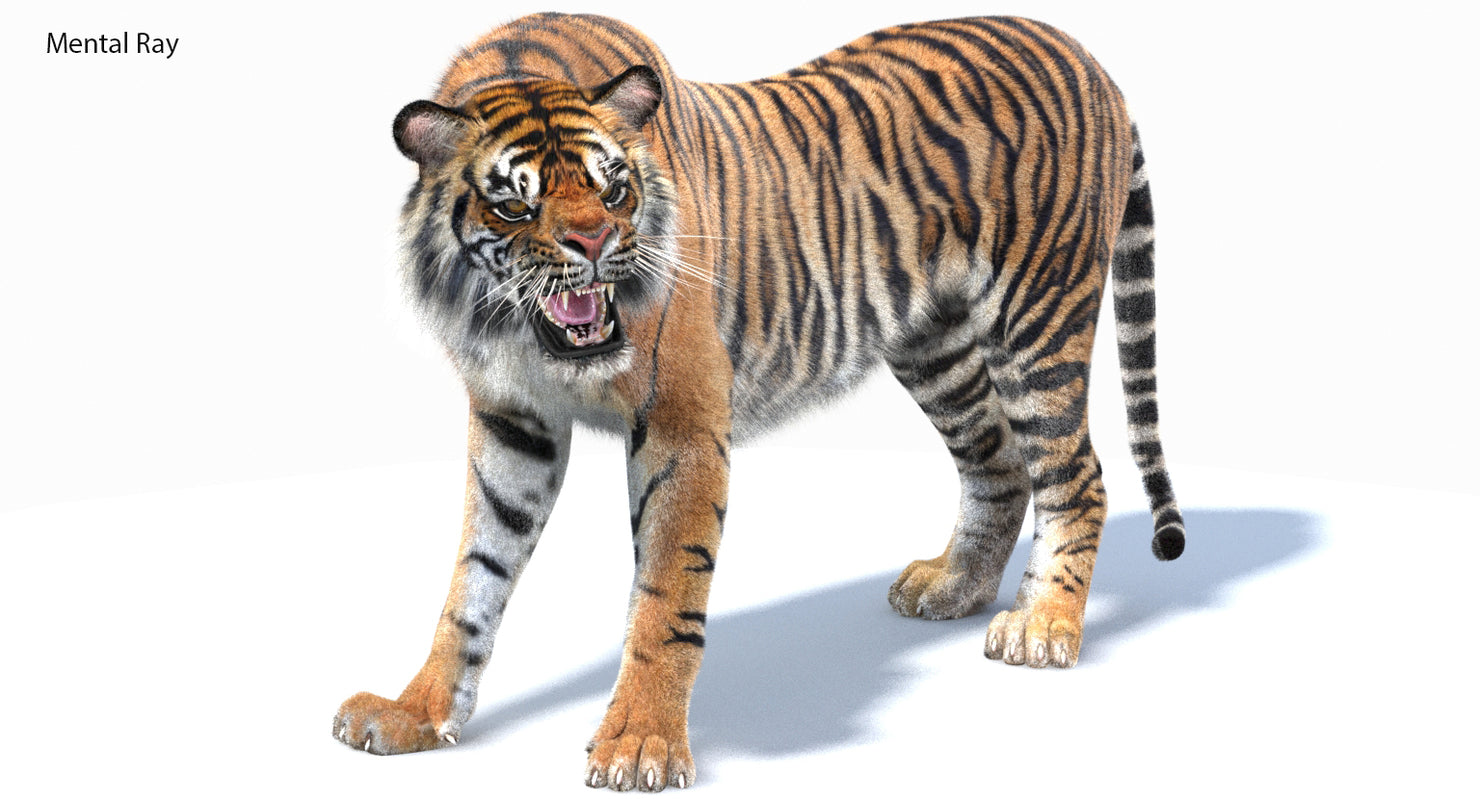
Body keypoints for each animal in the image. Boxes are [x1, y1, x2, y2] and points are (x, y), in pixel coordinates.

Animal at [332, 12, 1186, 791]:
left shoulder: (680, 424)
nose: (596, 244)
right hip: (934, 342)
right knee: (998, 461)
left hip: (1037, 319)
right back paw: (954, 586)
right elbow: (474, 578)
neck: (516, 330)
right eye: (516, 204)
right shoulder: (514, 422)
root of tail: (1086, 56)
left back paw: (1043, 625)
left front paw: (639, 743)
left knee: (1076, 475)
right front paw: (416, 711)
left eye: (614, 188)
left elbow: (666, 593)